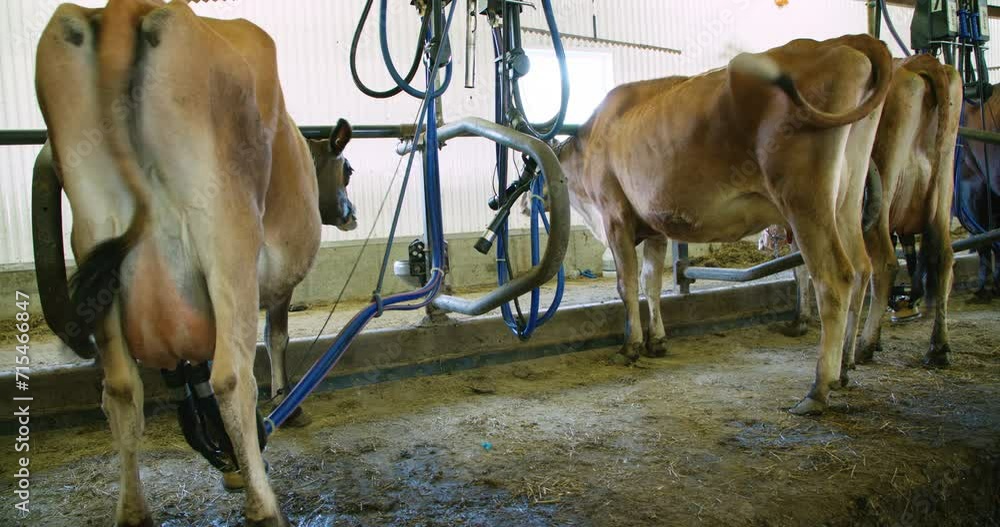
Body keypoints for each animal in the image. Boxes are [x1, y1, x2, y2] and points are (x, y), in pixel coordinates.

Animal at [35, 1, 356, 525]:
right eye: (348, 169)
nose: (350, 213)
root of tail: (125, 11)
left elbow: (194, 374)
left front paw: (228, 455)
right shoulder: (276, 284)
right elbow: (276, 338)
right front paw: (284, 408)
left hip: (95, 237)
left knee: (121, 389)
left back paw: (134, 510)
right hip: (227, 239)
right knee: (231, 377)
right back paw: (264, 506)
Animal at [523, 34, 894, 415]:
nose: (522, 205)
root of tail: (844, 42)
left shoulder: (615, 218)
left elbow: (626, 285)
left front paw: (631, 346)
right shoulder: (655, 227)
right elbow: (651, 283)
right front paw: (657, 341)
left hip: (805, 201)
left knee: (834, 279)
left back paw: (818, 389)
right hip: (846, 200)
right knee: (862, 269)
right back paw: (845, 367)